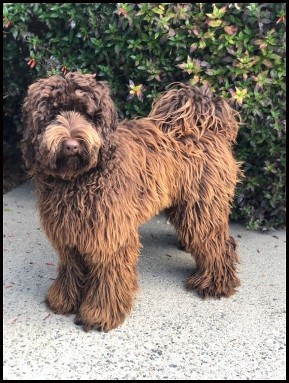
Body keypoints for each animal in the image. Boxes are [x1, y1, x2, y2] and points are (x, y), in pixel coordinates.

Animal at [22, 72, 241, 332]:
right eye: (53, 113)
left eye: (88, 114)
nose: (71, 145)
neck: (79, 179)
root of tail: (203, 123)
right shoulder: (69, 234)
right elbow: (70, 267)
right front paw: (63, 299)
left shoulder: (110, 235)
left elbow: (109, 276)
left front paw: (100, 313)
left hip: (201, 205)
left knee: (218, 243)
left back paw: (215, 283)